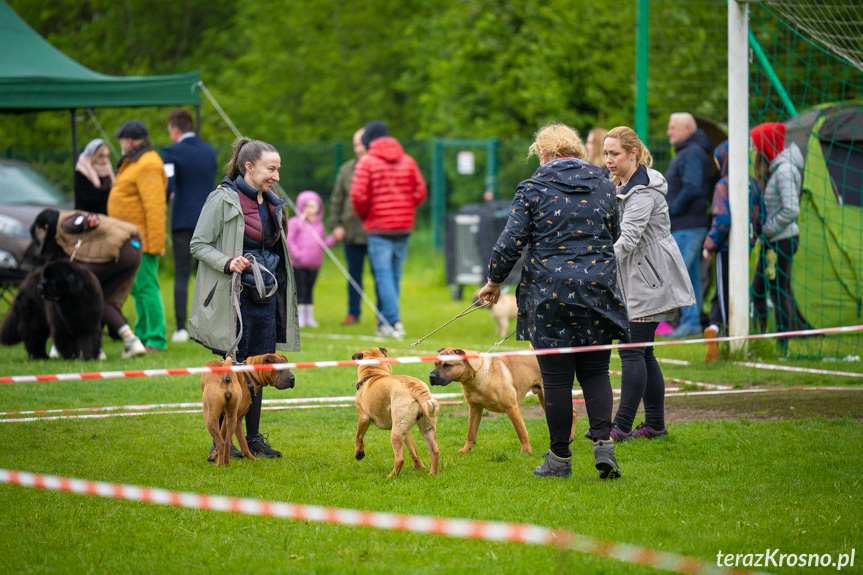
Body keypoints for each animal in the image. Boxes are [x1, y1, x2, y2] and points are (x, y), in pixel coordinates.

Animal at [352, 348, 442, 480]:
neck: (373, 373)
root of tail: (416, 387)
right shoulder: (405, 431)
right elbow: (413, 450)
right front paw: (419, 467)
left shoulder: (363, 418)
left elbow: (358, 436)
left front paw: (359, 453)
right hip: (423, 428)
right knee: (434, 450)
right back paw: (432, 474)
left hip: (396, 433)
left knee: (400, 458)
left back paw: (391, 476)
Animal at [430, 346, 576, 454]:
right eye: (435, 364)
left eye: (447, 365)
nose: (431, 376)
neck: (476, 373)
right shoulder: (475, 409)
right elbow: (471, 432)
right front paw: (466, 450)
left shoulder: (511, 407)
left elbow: (522, 432)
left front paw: (526, 451)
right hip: (543, 397)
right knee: (573, 412)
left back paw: (569, 437)